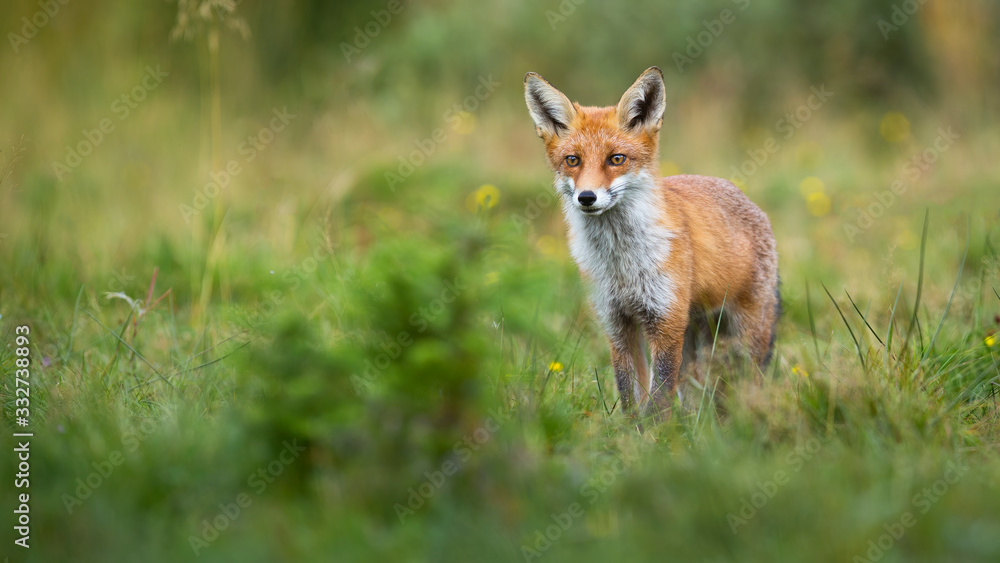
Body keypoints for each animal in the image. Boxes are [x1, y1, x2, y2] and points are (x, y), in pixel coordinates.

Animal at [524, 67, 780, 418]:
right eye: (572, 160)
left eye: (616, 159)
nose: (586, 197)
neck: (621, 263)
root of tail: (745, 198)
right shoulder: (617, 322)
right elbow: (629, 393)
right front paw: (630, 432)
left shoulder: (665, 320)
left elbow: (658, 400)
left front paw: (656, 433)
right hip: (693, 336)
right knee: (694, 390)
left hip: (745, 334)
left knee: (747, 381)